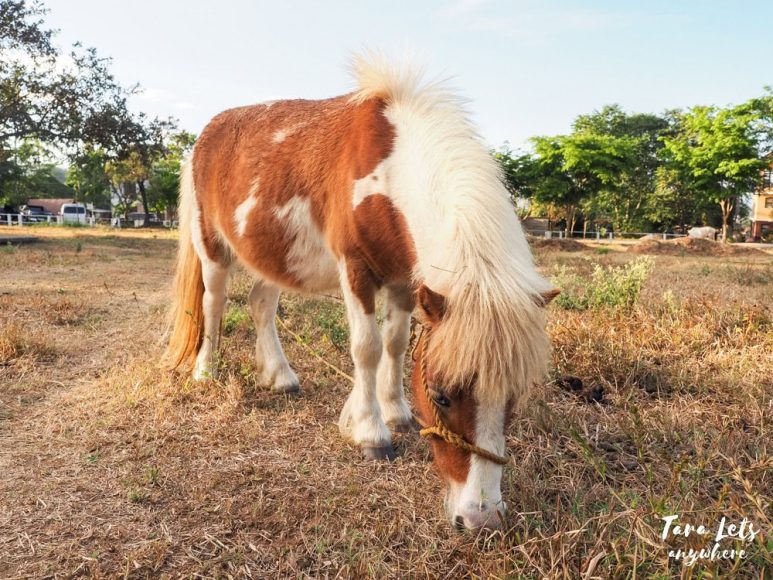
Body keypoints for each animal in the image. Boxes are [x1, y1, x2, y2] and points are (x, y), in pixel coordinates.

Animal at [165, 54, 557, 531]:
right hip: (212, 248)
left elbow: (397, 343)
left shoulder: (406, 280)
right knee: (214, 303)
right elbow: (367, 347)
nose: (480, 518)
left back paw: (281, 377)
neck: (389, 170)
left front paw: (395, 412)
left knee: (261, 304)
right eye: (441, 396)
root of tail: (202, 138)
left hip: (274, 255)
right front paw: (371, 433)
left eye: (514, 397)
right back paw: (206, 371)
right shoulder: (355, 270)